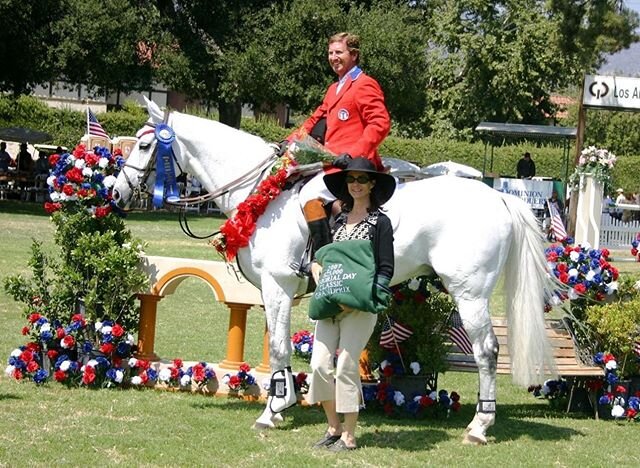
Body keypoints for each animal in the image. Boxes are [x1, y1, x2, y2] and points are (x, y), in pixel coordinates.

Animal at [114, 98, 556, 442]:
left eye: (144, 144)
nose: (117, 192)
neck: (262, 196)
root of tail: (499, 197)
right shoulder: (275, 291)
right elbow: (278, 344)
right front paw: (285, 401)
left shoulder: (277, 285)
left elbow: (279, 346)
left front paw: (273, 411)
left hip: (470, 293)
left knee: (487, 352)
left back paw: (480, 426)